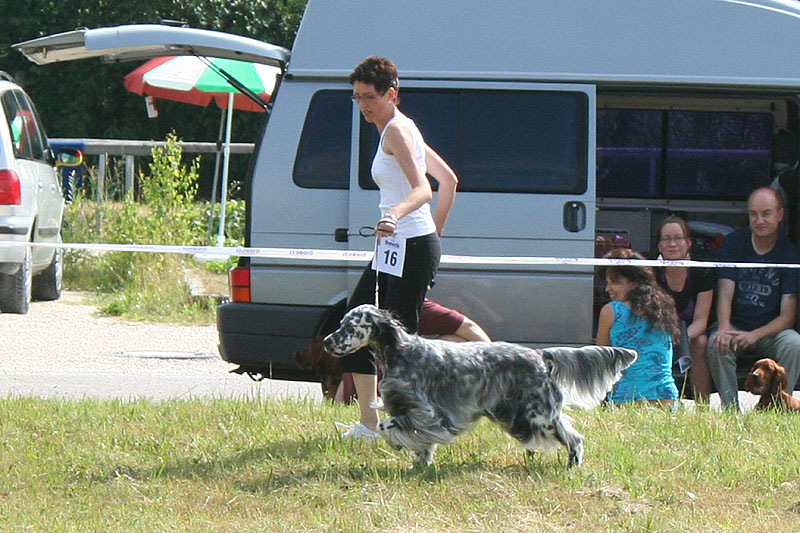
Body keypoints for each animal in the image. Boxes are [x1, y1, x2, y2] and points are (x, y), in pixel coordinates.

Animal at [323, 304, 638, 468]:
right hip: (525, 415)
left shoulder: (425, 411)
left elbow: (385, 425)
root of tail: (540, 355)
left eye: (349, 326)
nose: (326, 341)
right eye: (340, 323)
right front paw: (419, 464)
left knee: (575, 439)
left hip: (538, 415)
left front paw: (402, 445)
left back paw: (572, 465)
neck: (401, 351)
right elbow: (419, 443)